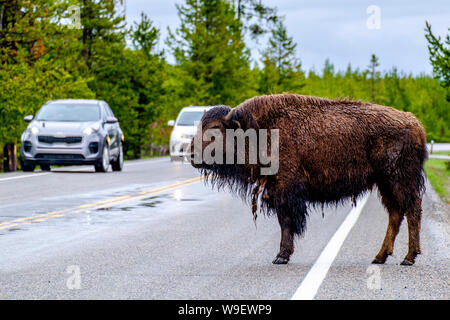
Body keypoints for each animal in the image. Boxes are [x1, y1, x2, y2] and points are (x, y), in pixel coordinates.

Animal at [188, 94, 428, 266]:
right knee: (396, 214)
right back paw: (380, 257)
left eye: (214, 130)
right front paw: (282, 255)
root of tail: (416, 124)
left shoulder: (285, 191)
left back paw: (408, 258)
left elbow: (286, 222)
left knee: (412, 210)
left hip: (399, 180)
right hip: (385, 184)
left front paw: (281, 256)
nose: (190, 153)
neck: (256, 129)